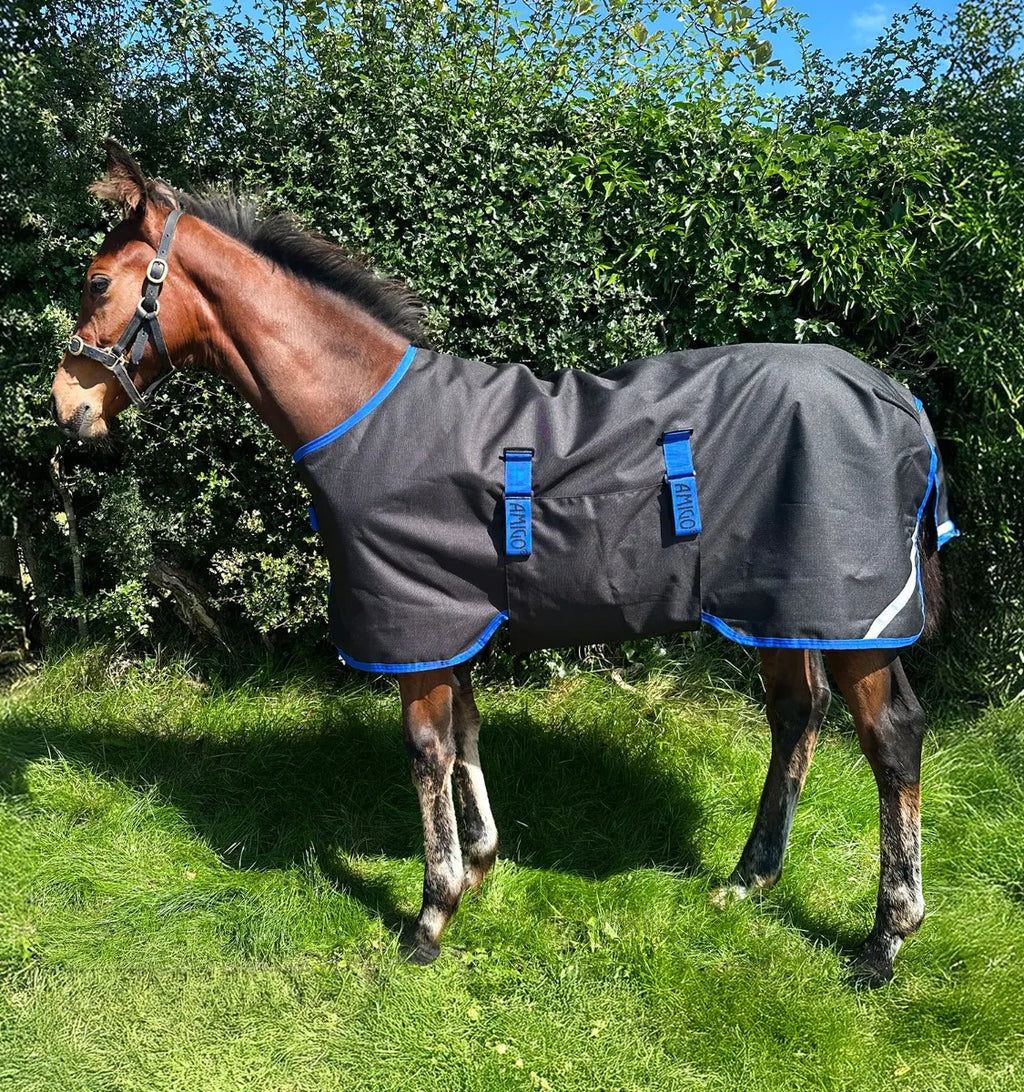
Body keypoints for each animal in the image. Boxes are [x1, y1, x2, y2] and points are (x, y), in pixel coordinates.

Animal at [51, 140, 957, 986]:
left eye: (96, 282)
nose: (66, 407)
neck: (366, 412)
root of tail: (898, 397)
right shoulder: (447, 617)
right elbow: (466, 729)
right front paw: (481, 865)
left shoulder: (415, 623)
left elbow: (427, 750)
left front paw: (431, 914)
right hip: (782, 607)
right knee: (797, 714)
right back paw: (749, 879)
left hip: (853, 617)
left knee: (891, 737)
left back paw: (886, 938)